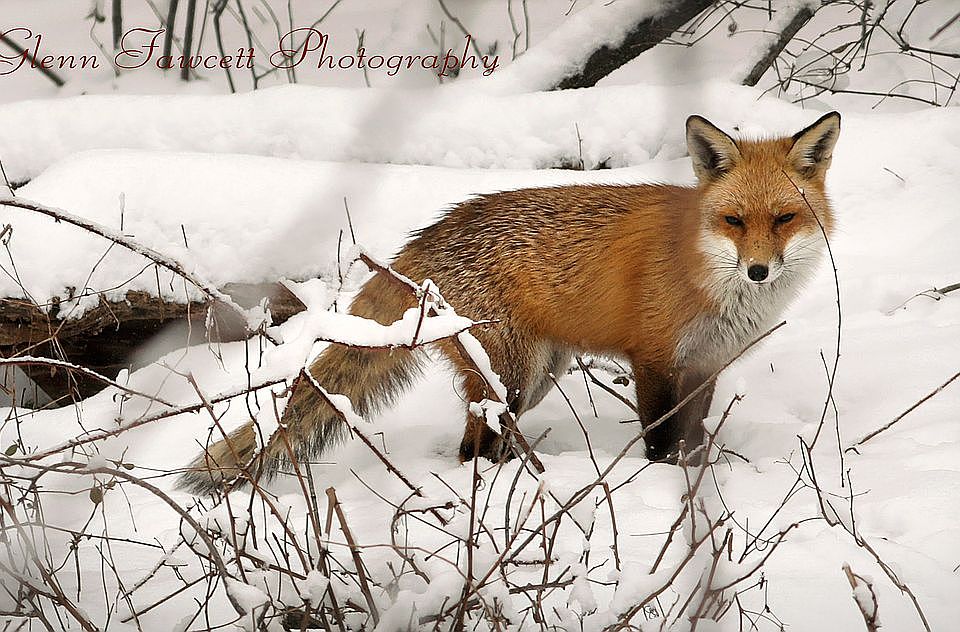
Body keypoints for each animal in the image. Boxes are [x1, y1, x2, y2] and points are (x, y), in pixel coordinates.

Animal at [179, 111, 840, 493]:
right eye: (734, 220)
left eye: (784, 219)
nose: (758, 270)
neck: (712, 282)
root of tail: (433, 230)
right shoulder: (652, 357)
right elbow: (659, 441)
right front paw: (659, 488)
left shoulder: (704, 364)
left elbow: (693, 437)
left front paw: (699, 475)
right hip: (512, 376)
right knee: (474, 446)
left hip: (539, 375)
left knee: (485, 441)